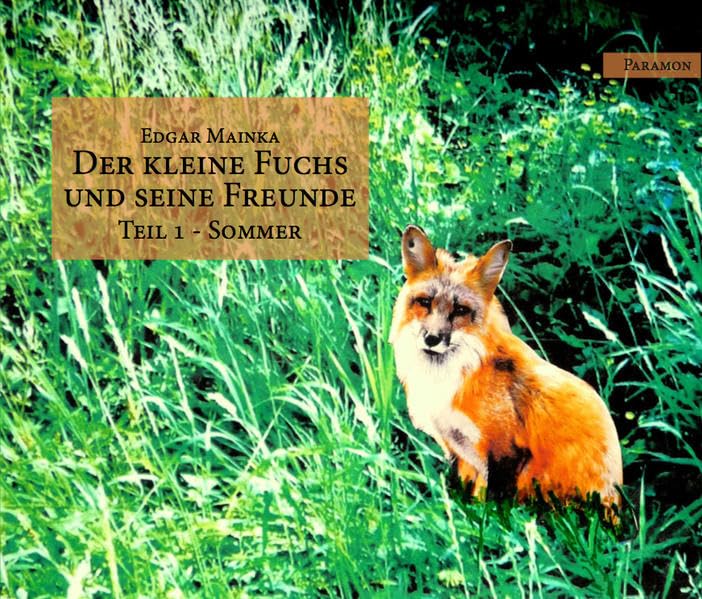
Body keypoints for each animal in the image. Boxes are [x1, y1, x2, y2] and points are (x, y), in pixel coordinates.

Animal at [390, 225, 623, 517]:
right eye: (425, 302)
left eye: (460, 310)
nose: (432, 338)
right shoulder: (458, 452)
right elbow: (463, 498)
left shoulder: (507, 451)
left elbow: (496, 510)